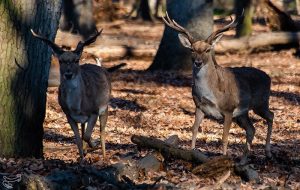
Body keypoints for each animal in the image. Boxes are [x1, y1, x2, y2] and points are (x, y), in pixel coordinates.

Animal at [31, 28, 110, 162]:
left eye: (76, 60)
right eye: (61, 60)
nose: (68, 74)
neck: (76, 107)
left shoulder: (94, 111)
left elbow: (87, 136)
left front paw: (93, 146)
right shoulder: (69, 115)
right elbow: (78, 138)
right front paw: (82, 158)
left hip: (105, 107)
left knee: (102, 131)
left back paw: (103, 156)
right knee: (84, 129)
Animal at [163, 12, 274, 163]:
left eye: (208, 50)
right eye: (192, 49)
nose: (198, 62)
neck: (211, 91)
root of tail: (268, 77)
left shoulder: (228, 109)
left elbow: (224, 137)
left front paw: (224, 159)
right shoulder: (199, 106)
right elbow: (194, 129)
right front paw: (192, 153)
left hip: (260, 103)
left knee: (271, 116)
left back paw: (268, 153)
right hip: (242, 113)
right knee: (252, 129)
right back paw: (243, 160)